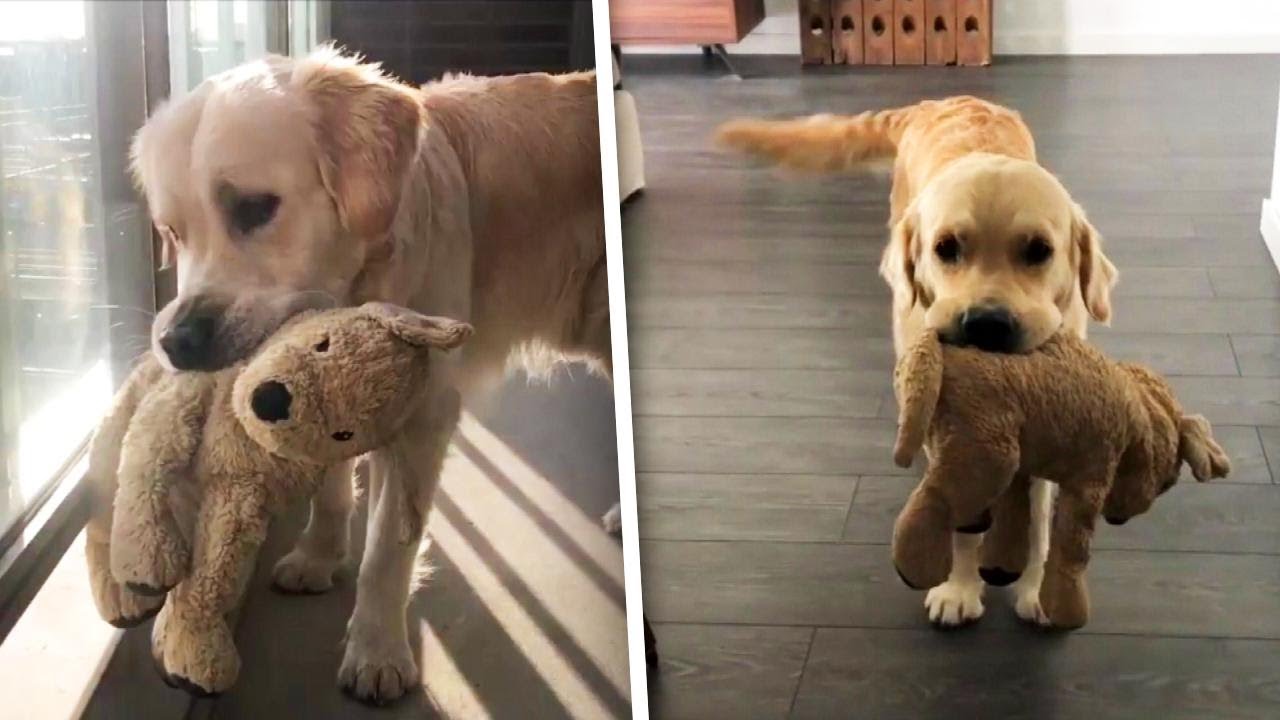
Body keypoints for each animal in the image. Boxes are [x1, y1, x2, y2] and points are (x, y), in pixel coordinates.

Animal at [132, 46, 606, 702]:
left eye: (254, 208)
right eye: (171, 232)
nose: (177, 342)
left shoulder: (425, 417)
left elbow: (388, 549)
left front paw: (378, 651)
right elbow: (333, 492)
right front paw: (318, 556)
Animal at [716, 96, 1116, 627]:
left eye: (1039, 251)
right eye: (946, 248)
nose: (986, 324)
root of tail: (939, 102)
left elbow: (1036, 520)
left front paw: (1036, 591)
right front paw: (959, 588)